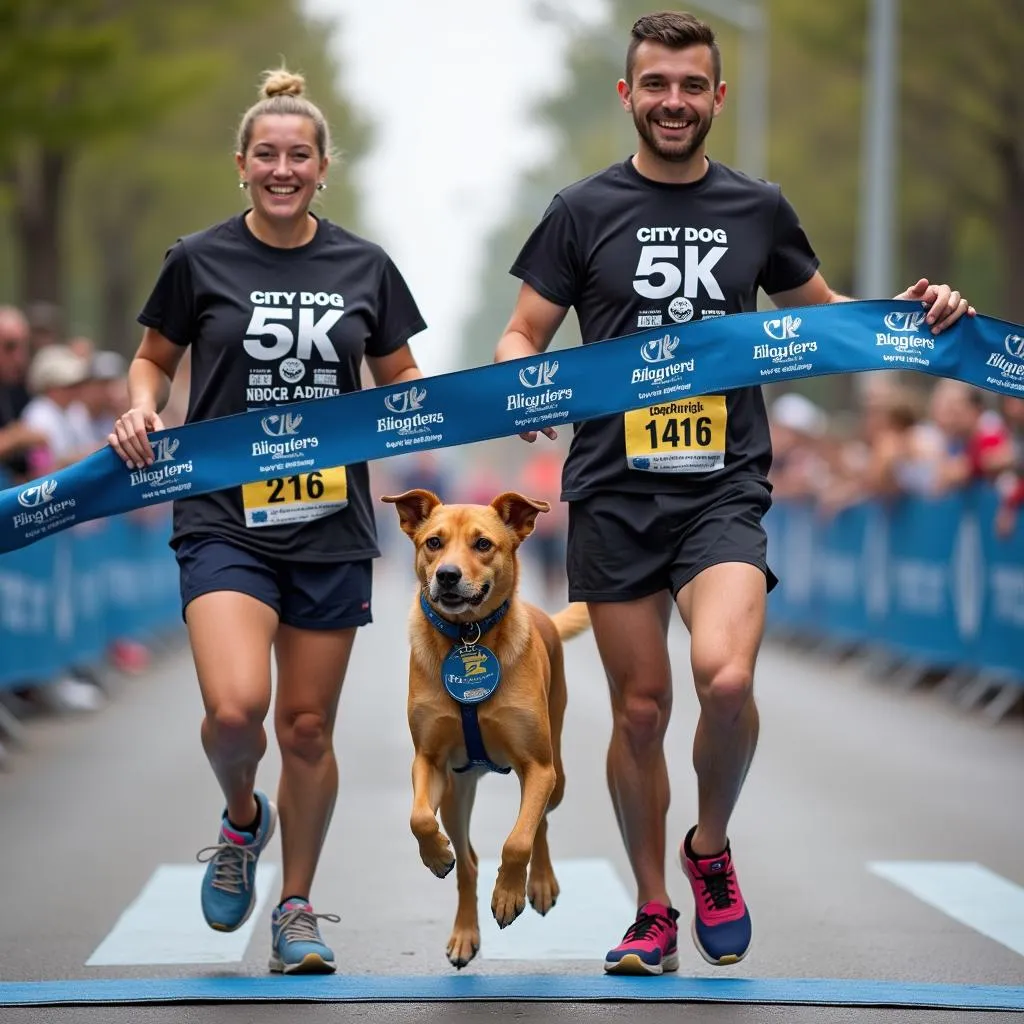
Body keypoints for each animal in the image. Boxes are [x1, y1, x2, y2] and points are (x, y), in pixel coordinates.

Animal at [380, 487, 589, 966]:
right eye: (433, 542)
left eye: (483, 544)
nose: (447, 576)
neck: (467, 637)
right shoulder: (429, 760)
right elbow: (419, 818)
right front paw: (436, 856)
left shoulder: (538, 767)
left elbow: (518, 841)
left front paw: (510, 895)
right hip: (457, 794)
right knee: (470, 861)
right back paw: (464, 933)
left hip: (557, 773)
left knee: (540, 822)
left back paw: (540, 884)